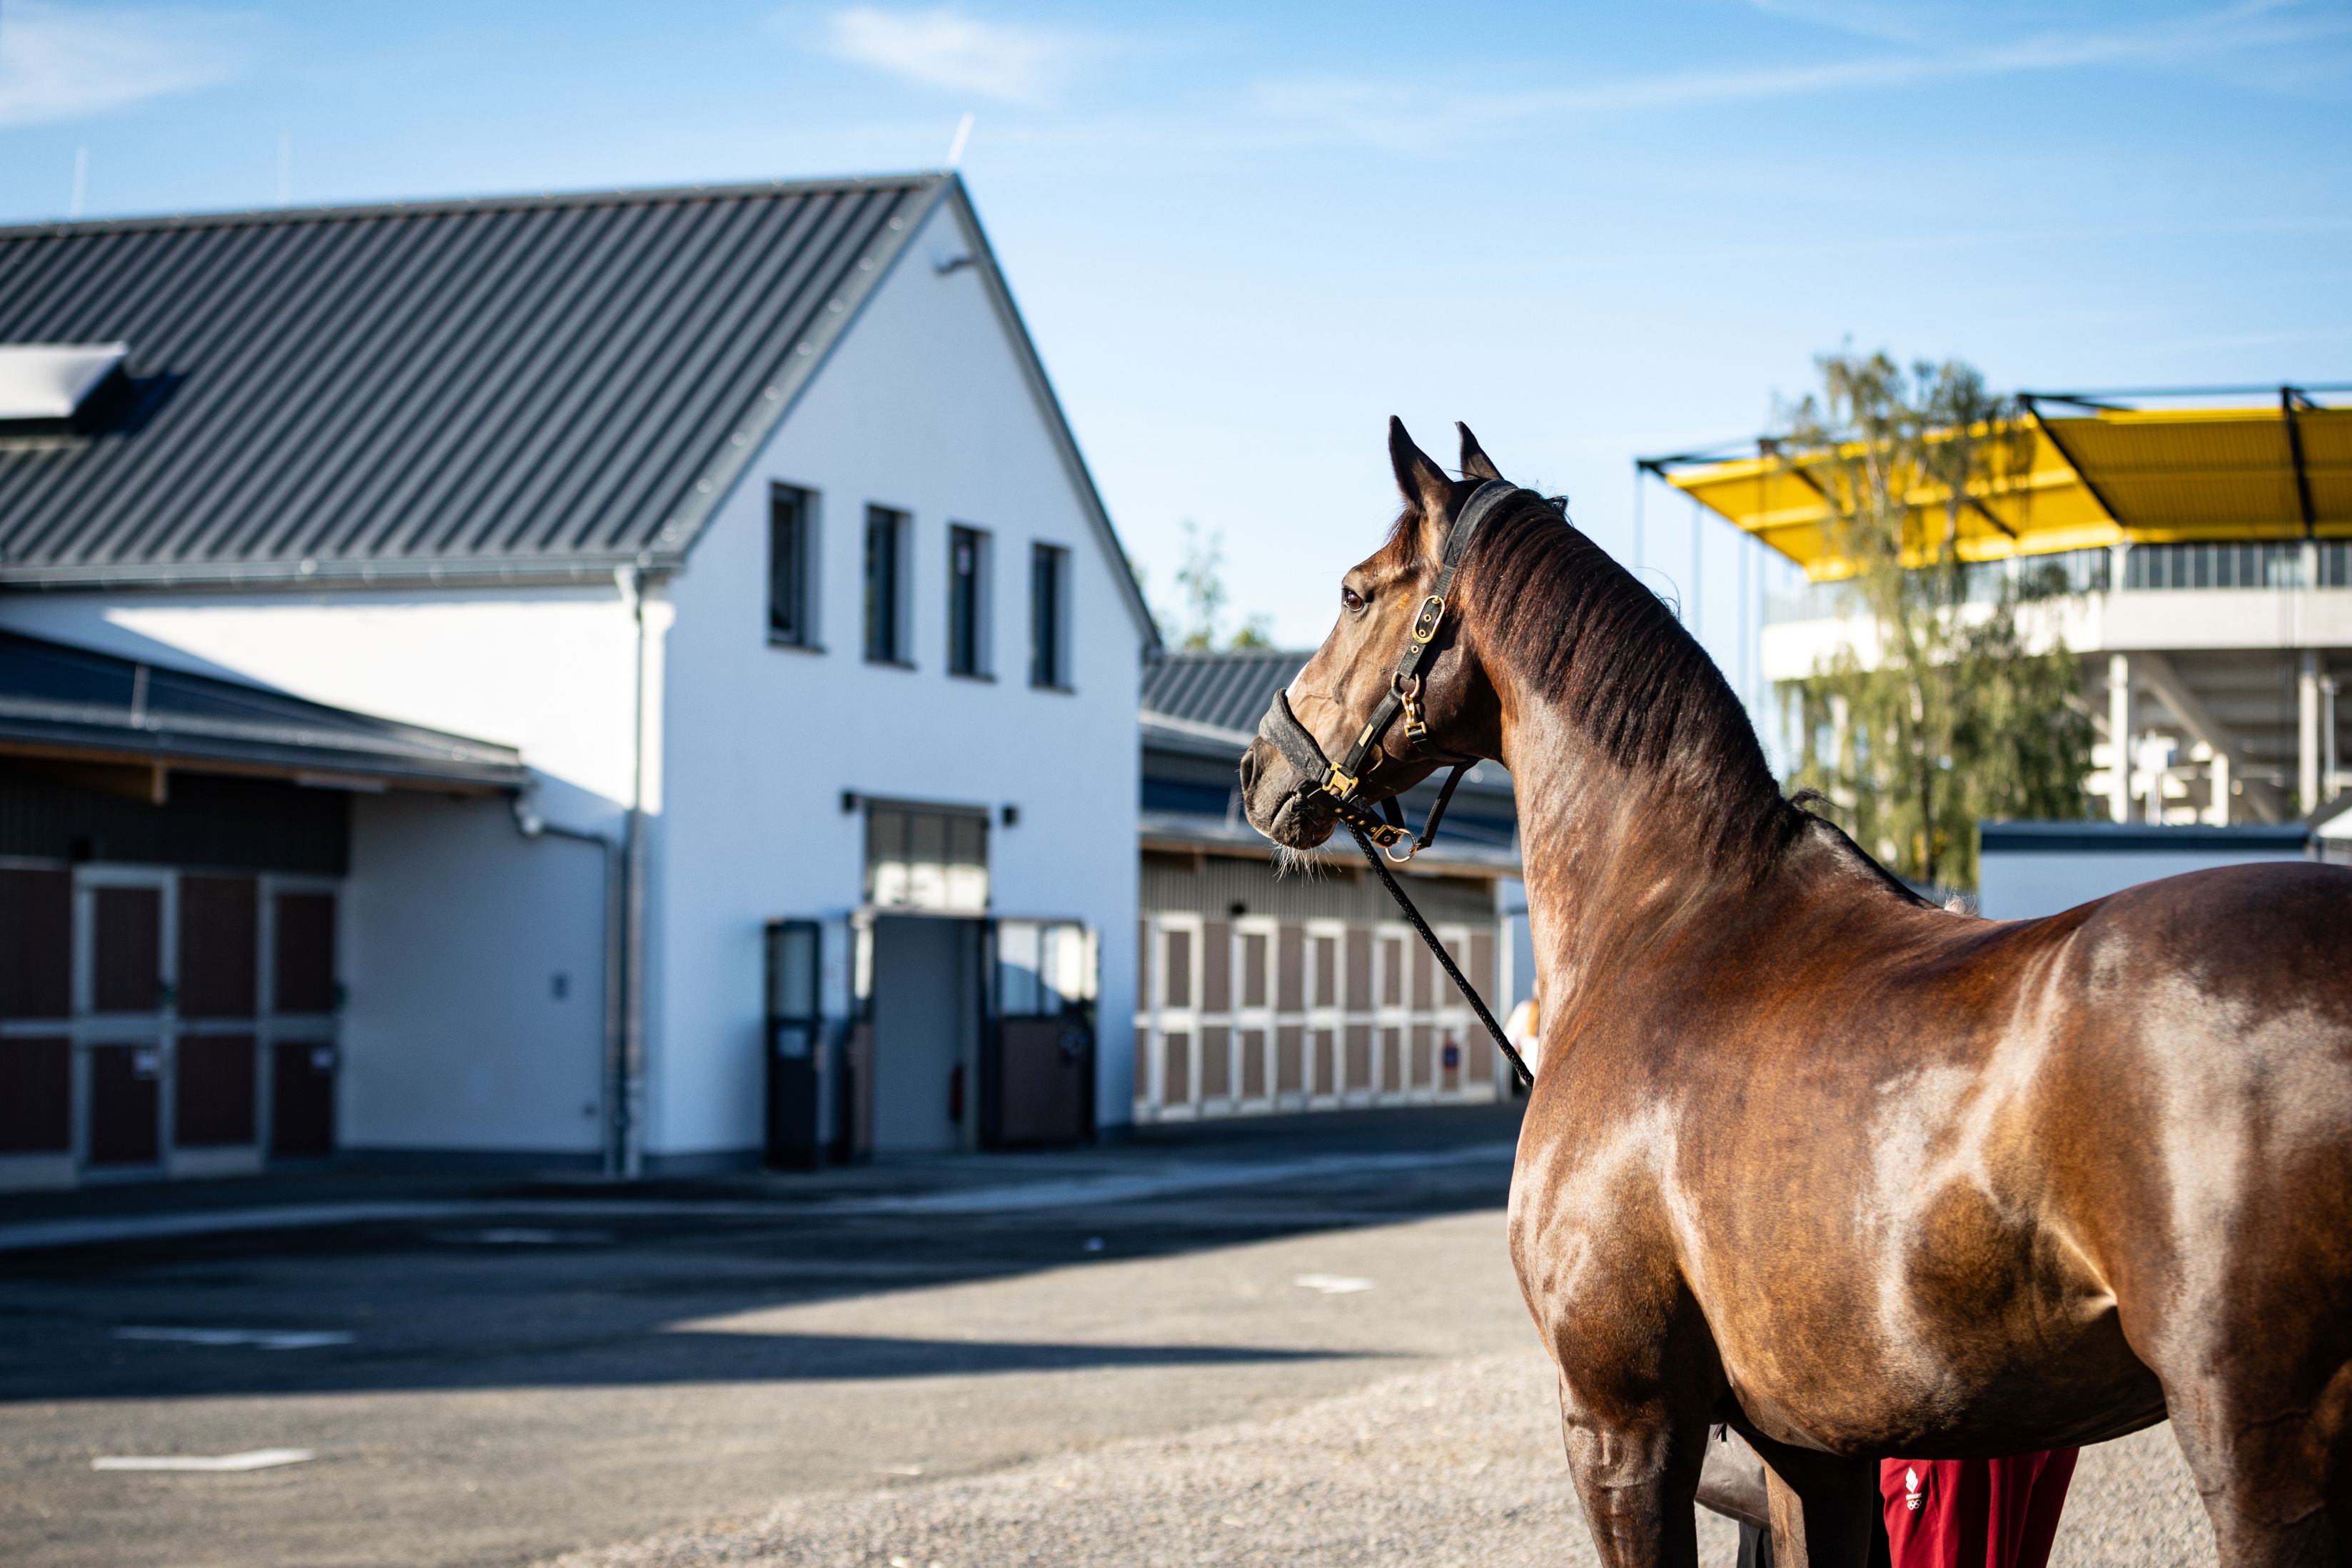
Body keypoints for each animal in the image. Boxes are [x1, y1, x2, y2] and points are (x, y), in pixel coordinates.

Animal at [1238, 418, 2352, 1568]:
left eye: (1354, 593)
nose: (1259, 769)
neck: (1666, 916)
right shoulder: (1810, 1450)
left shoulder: (1621, 1423)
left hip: (2257, 1445)